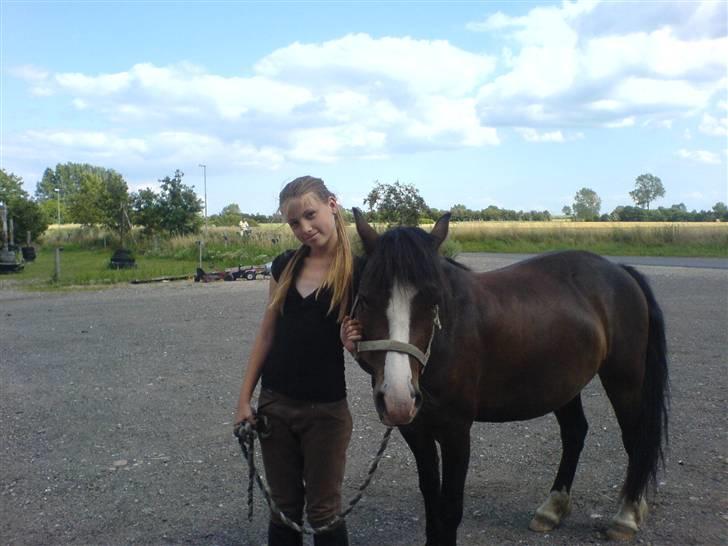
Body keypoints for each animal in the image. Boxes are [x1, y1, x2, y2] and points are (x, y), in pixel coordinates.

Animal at [349, 209, 669, 545]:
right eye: (367, 298)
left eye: (433, 300)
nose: (398, 398)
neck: (446, 337)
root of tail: (619, 270)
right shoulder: (415, 431)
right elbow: (431, 501)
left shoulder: (455, 432)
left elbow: (449, 507)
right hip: (563, 384)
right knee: (574, 433)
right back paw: (552, 509)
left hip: (625, 379)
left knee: (634, 437)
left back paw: (627, 515)